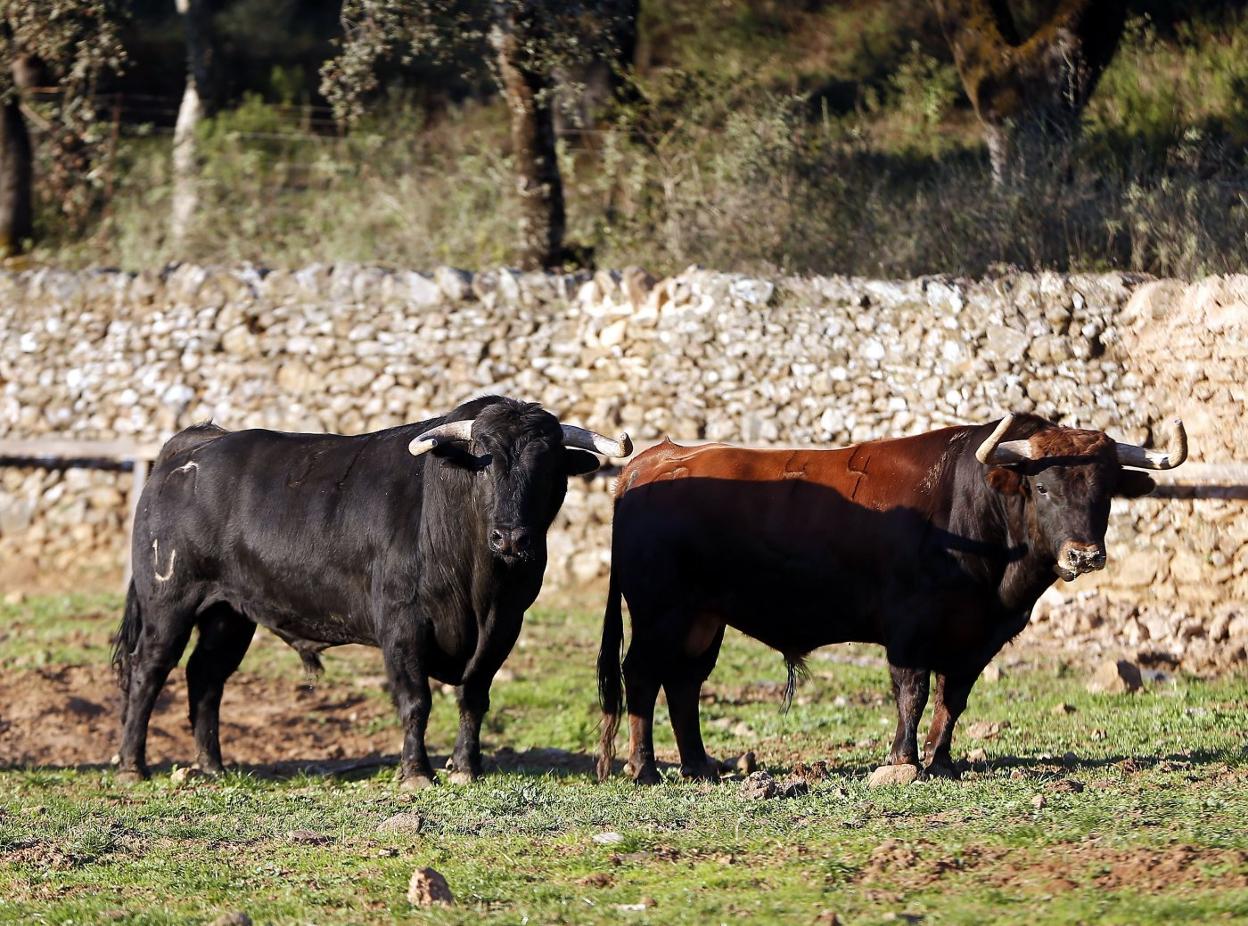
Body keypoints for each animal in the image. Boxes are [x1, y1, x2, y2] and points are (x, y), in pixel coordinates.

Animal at [112, 399, 628, 788]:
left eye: (548, 467)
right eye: (485, 462)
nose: (512, 538)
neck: (478, 584)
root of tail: (191, 445)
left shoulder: (504, 626)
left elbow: (473, 697)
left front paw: (465, 767)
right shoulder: (401, 625)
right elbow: (416, 700)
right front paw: (416, 773)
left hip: (229, 613)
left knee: (206, 677)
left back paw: (212, 766)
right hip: (168, 602)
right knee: (148, 671)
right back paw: (132, 767)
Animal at [599, 414, 1183, 783]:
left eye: (1104, 492)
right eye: (1043, 489)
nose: (1084, 555)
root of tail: (649, 463)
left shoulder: (977, 638)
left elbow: (952, 699)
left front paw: (941, 761)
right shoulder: (908, 629)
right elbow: (913, 693)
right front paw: (904, 759)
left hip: (702, 619)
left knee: (683, 683)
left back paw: (699, 766)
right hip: (660, 612)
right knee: (643, 676)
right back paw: (644, 768)